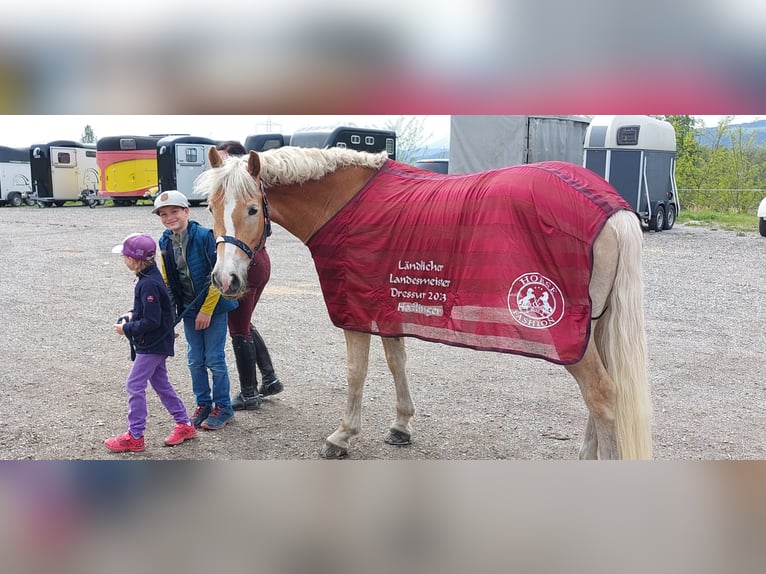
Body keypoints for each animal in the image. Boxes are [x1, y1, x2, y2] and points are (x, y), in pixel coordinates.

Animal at [196, 146, 656, 462]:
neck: (343, 204)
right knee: (602, 396)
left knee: (602, 396)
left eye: (252, 209)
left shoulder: (355, 310)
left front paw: (342, 436)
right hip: (593, 325)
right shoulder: (386, 306)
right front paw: (401, 426)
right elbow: (397, 361)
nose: (225, 279)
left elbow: (356, 374)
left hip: (567, 335)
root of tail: (611, 207)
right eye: (214, 208)